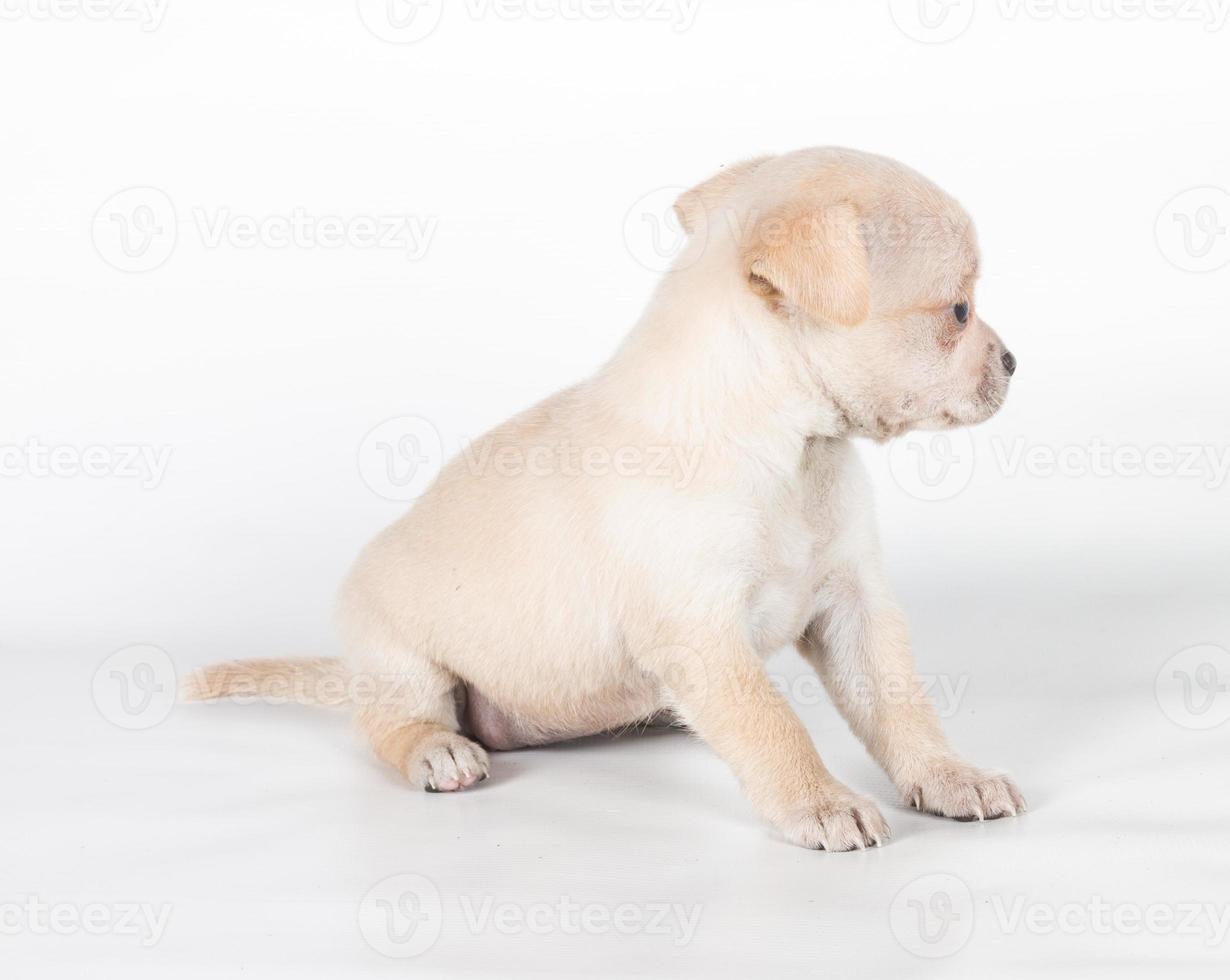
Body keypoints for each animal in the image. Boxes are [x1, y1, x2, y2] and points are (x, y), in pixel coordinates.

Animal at [186, 145, 1023, 850]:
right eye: (958, 311)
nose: (1014, 360)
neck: (790, 450)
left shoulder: (854, 606)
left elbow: (900, 706)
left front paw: (950, 776)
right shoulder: (700, 632)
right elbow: (770, 723)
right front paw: (819, 801)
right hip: (400, 660)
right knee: (389, 724)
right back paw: (439, 750)